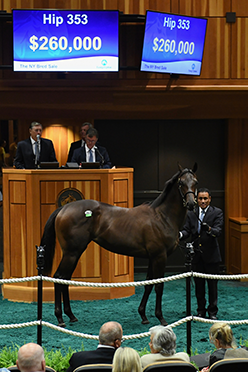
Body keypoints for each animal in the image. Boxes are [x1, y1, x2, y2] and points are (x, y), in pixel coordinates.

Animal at [41, 164, 199, 326]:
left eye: (195, 182)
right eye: (181, 183)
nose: (191, 204)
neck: (161, 216)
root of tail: (64, 208)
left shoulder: (152, 257)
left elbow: (149, 284)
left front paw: (143, 315)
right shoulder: (160, 256)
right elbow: (159, 285)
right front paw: (160, 318)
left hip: (74, 253)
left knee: (64, 279)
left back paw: (70, 315)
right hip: (71, 253)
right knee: (59, 277)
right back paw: (60, 318)